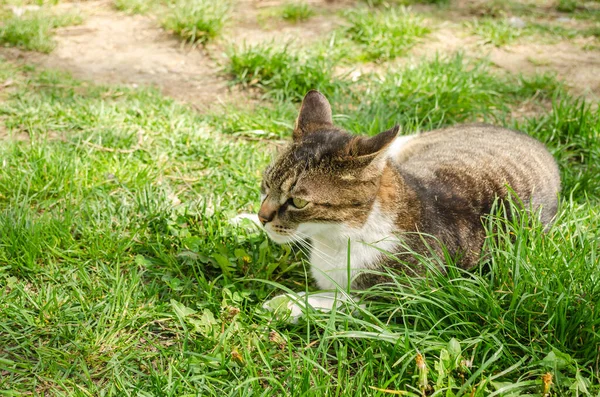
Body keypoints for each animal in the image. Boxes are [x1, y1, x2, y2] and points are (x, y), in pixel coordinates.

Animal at [255, 89, 560, 312]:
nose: (262, 217)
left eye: (298, 203)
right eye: (266, 184)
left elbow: (345, 299)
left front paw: (287, 303)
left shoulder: (409, 298)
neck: (336, 238)